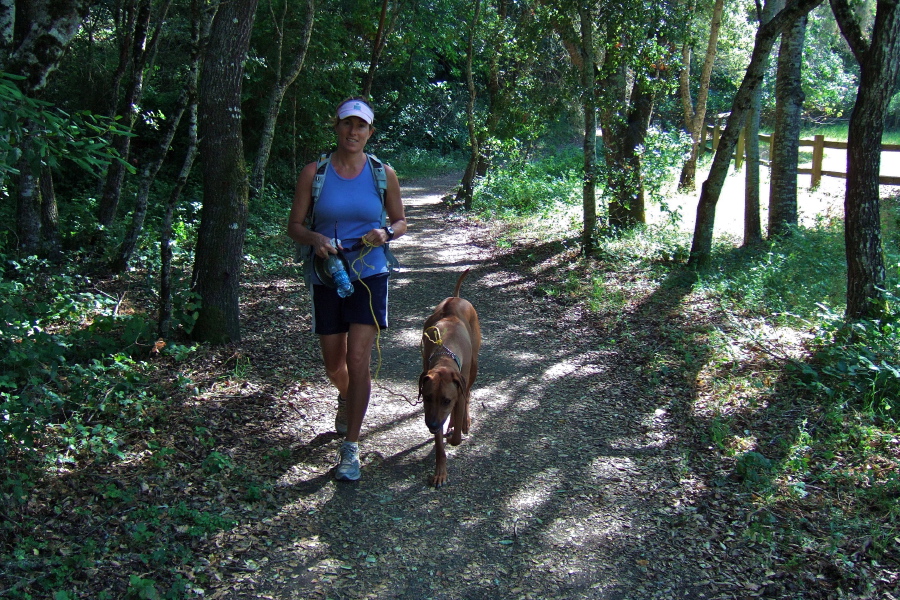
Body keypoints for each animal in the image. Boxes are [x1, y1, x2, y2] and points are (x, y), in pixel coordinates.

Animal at [418, 270, 482, 486]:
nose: (432, 425)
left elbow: (455, 438)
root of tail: (456, 297)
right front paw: (440, 472)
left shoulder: (456, 394)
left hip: (473, 366)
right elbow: (439, 446)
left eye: (446, 400)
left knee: (468, 393)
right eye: (427, 398)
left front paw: (456, 431)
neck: (445, 355)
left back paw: (463, 421)